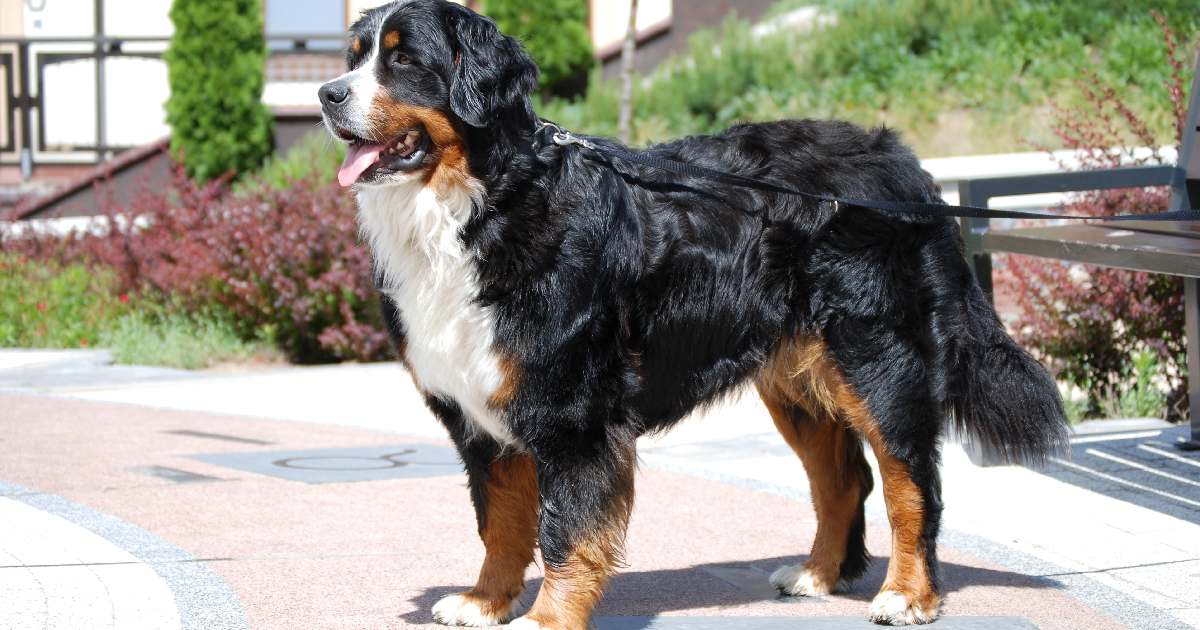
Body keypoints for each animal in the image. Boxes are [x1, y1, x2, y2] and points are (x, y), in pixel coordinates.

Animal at [319, 2, 1070, 624]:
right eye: (353, 56)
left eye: (403, 60)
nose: (328, 95)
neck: (481, 204)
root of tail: (903, 163)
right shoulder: (480, 412)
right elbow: (500, 522)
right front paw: (484, 602)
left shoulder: (573, 416)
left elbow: (565, 533)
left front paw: (547, 618)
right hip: (795, 380)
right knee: (842, 479)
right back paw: (817, 575)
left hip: (879, 357)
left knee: (910, 482)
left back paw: (909, 595)